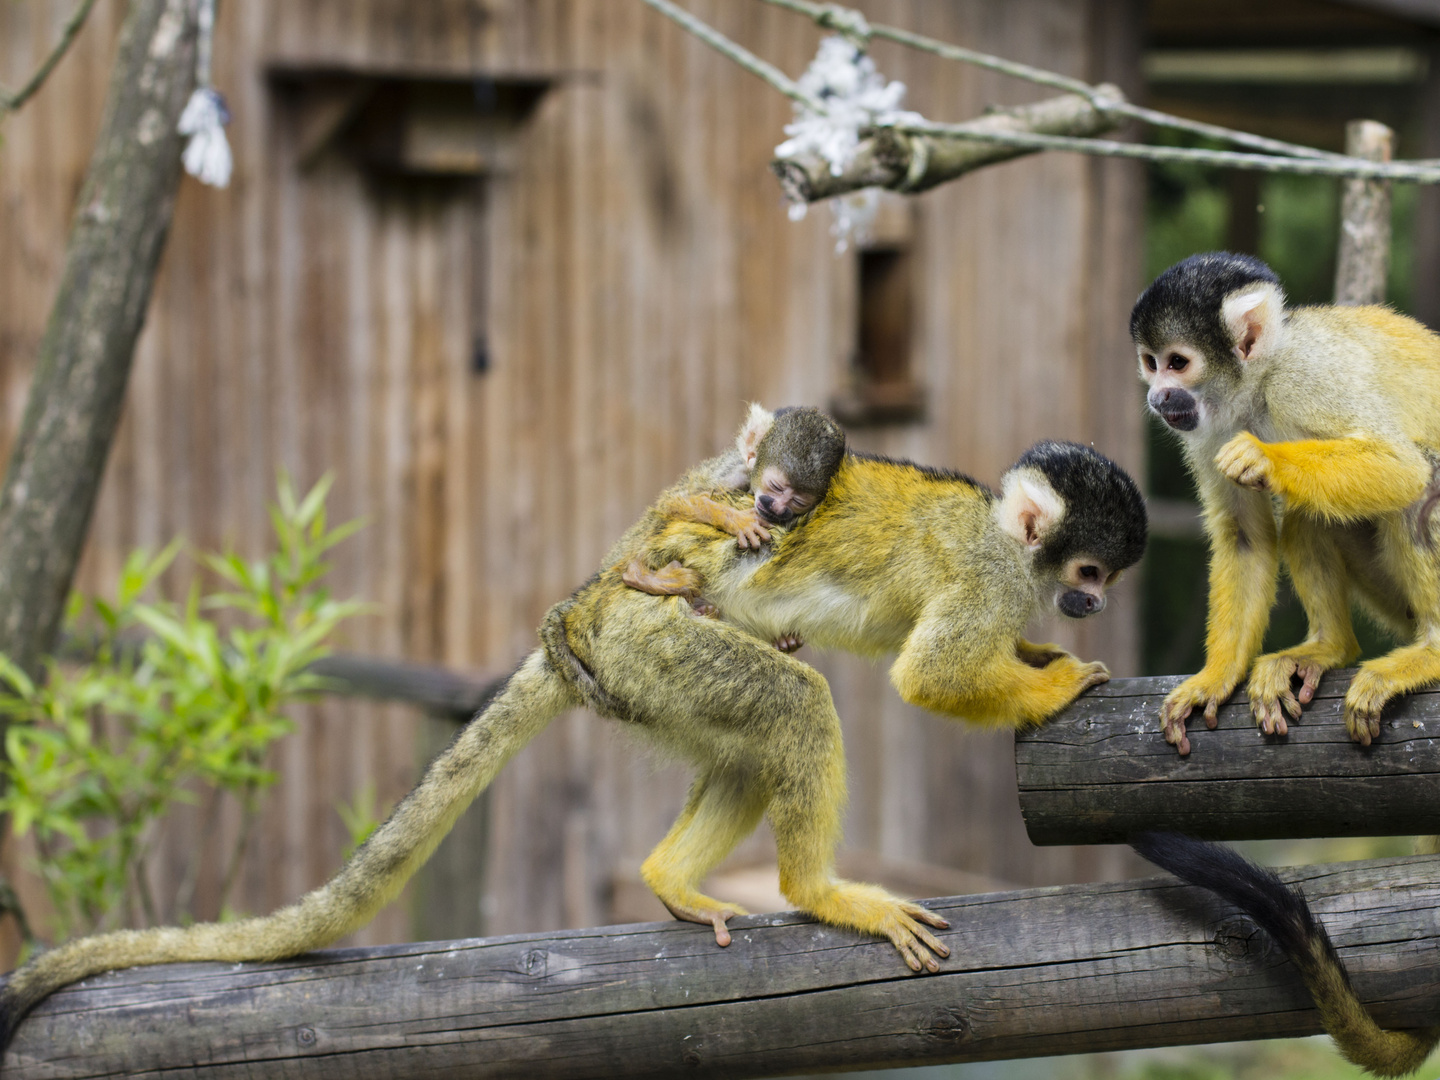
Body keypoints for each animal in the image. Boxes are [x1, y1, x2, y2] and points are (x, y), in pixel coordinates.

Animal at [619, 400, 840, 648]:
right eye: (776, 486)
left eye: (798, 502)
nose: (776, 508)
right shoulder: (735, 473)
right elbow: (675, 501)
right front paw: (737, 520)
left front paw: (785, 640)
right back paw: (639, 574)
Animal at [1128, 254, 1440, 760]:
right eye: (1150, 364)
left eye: (1177, 363)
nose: (1157, 397)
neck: (1258, 386)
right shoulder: (1211, 428)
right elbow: (1245, 537)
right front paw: (1215, 677)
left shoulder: (1306, 377)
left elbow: (1402, 467)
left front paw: (1262, 458)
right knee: (1308, 513)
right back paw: (1329, 646)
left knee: (1421, 483)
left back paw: (1433, 650)